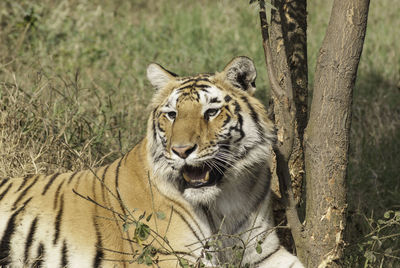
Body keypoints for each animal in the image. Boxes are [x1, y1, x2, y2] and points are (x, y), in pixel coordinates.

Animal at [0, 55, 304, 266]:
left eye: (211, 112)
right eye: (172, 114)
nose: (182, 150)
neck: (225, 198)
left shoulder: (264, 252)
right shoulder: (174, 255)